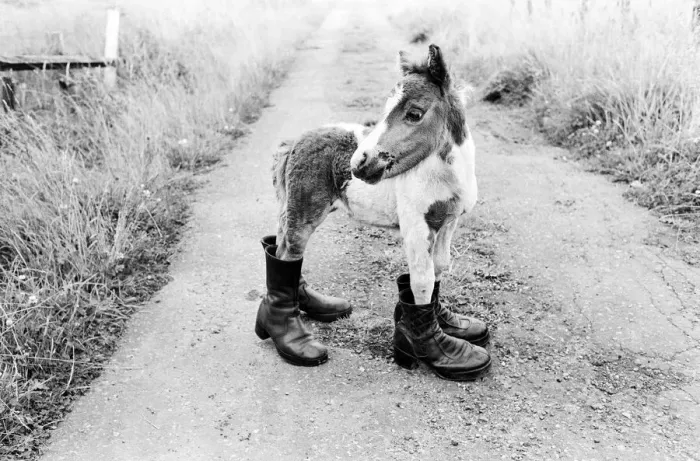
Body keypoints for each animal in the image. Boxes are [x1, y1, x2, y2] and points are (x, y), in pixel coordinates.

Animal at [256, 44, 491, 381]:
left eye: (414, 113)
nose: (359, 164)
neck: (443, 175)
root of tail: (296, 140)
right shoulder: (416, 227)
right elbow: (422, 281)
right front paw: (434, 349)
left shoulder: (448, 222)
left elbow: (439, 268)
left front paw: (449, 323)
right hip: (305, 209)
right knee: (289, 253)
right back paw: (290, 338)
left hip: (290, 205)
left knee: (281, 247)